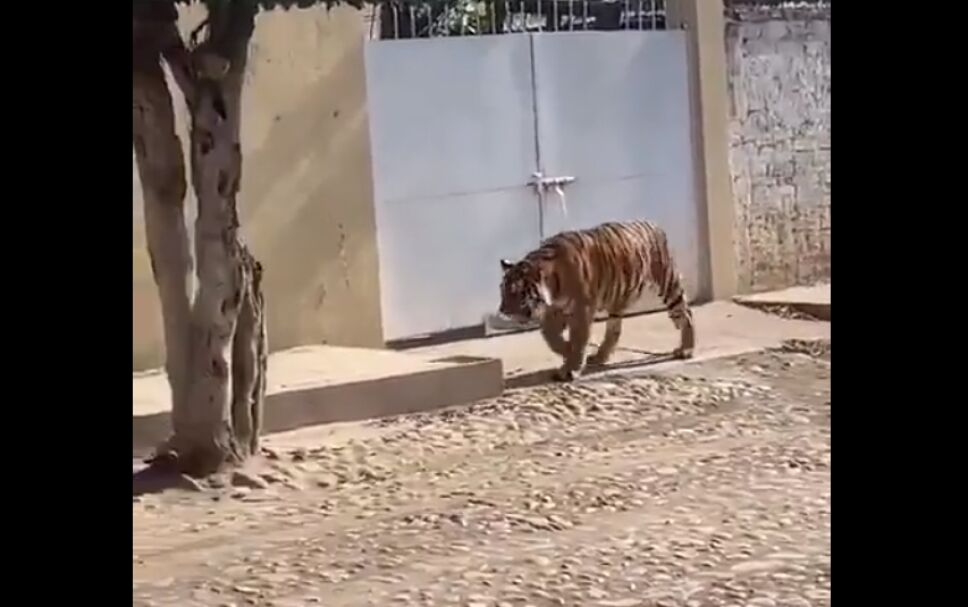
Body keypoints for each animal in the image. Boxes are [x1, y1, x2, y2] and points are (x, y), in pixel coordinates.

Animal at [498, 219, 695, 382]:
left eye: (515, 292)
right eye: (502, 290)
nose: (502, 311)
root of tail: (655, 226)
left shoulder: (581, 310)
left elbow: (578, 339)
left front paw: (571, 368)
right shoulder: (554, 311)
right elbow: (550, 337)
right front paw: (567, 351)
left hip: (667, 283)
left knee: (686, 314)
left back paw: (686, 350)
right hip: (617, 300)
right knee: (614, 330)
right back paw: (600, 356)